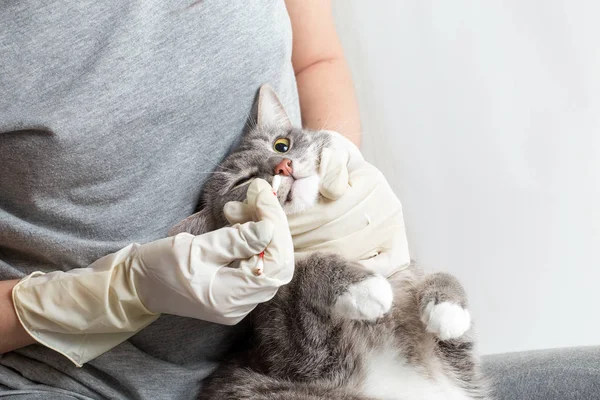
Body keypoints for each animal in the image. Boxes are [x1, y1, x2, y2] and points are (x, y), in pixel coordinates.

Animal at [171, 86, 490, 398]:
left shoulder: (458, 365)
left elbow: (439, 277)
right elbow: (303, 273)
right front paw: (364, 286)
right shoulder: (300, 352)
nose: (284, 166)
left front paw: (448, 308)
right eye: (242, 182)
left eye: (281, 145)